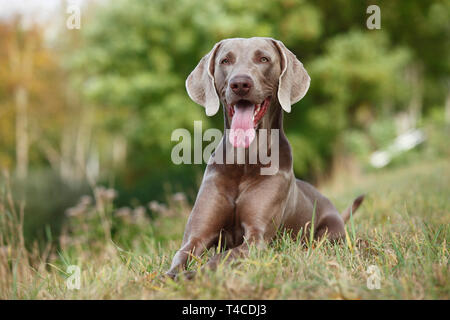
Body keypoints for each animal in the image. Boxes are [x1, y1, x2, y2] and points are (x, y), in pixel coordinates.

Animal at [167, 37, 364, 278]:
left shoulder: (256, 237)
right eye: (225, 60)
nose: (240, 83)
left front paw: (194, 274)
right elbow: (179, 258)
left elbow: (222, 257)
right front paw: (172, 275)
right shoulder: (196, 236)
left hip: (329, 232)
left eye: (263, 59)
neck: (244, 161)